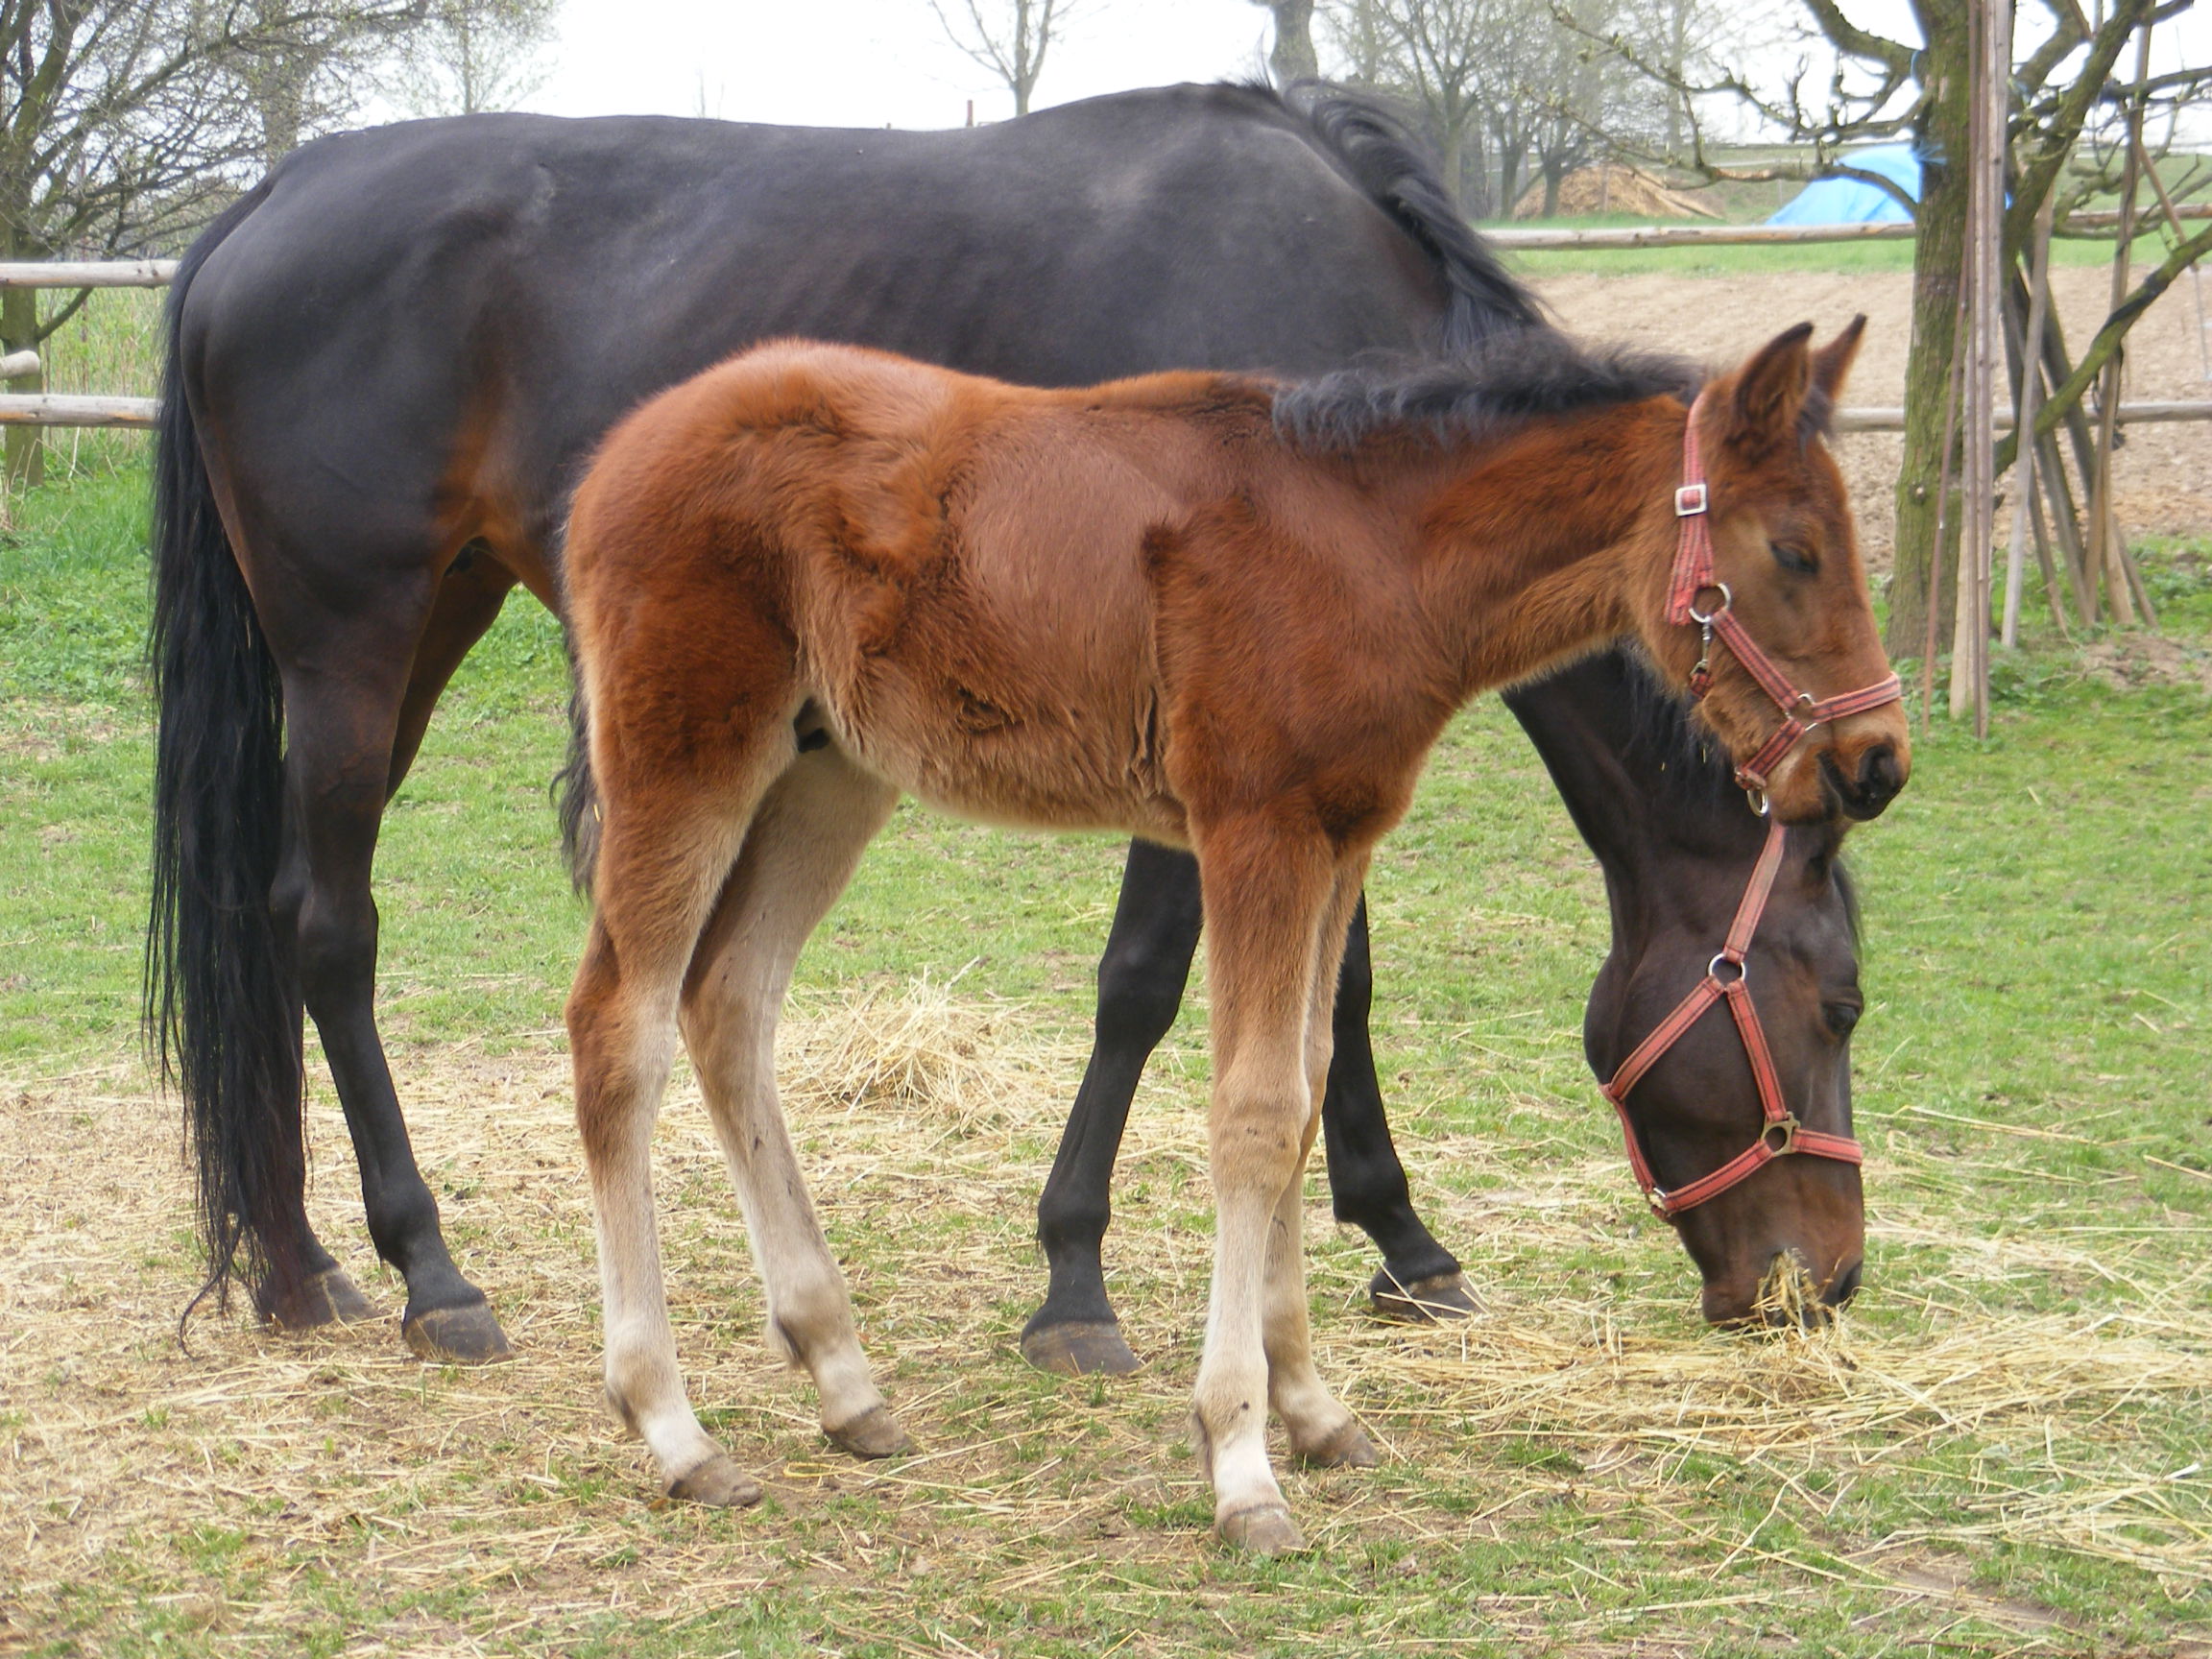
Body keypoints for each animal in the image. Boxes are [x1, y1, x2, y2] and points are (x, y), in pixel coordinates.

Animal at [562, 325, 1911, 1557]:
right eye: (1795, 550)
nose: (1878, 761)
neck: (1375, 550)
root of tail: (621, 449)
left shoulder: (1339, 838)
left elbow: (1306, 1089)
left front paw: (1312, 1410)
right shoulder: (1254, 831)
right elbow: (1254, 1115)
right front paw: (1241, 1462)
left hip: (829, 768)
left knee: (730, 1002)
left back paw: (843, 1378)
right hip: (690, 752)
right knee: (618, 1029)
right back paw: (674, 1428)